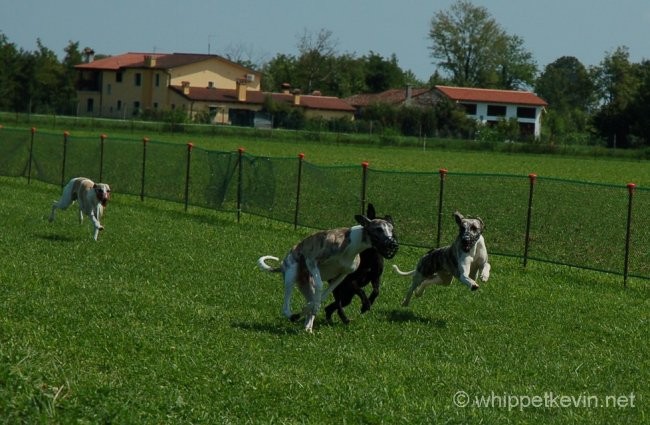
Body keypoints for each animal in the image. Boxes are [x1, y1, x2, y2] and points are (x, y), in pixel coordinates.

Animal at [256, 214, 398, 330]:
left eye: (391, 230)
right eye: (378, 229)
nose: (393, 244)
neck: (351, 244)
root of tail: (282, 263)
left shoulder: (342, 275)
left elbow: (323, 295)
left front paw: (310, 307)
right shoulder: (312, 261)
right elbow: (320, 286)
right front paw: (310, 308)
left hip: (307, 285)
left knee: (312, 297)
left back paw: (308, 326)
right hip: (291, 275)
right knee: (286, 306)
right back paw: (292, 315)